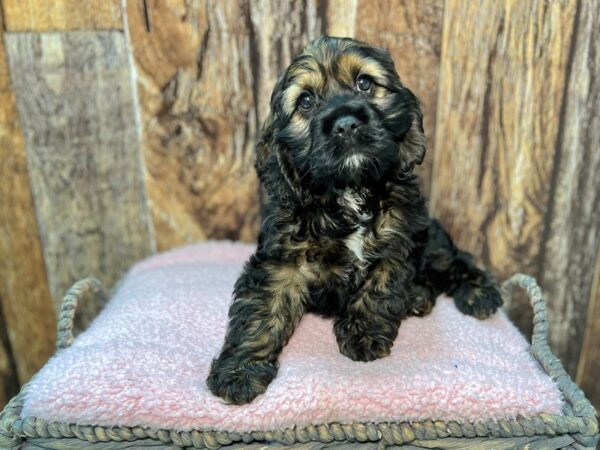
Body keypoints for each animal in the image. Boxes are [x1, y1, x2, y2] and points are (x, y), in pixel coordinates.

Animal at [206, 37, 502, 406]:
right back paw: (420, 296)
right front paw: (240, 370)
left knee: (454, 259)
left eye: (364, 83)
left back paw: (477, 293)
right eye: (306, 101)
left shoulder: (399, 241)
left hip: (431, 240)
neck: (349, 191)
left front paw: (364, 334)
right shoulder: (281, 260)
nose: (346, 123)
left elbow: (379, 290)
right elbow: (260, 310)